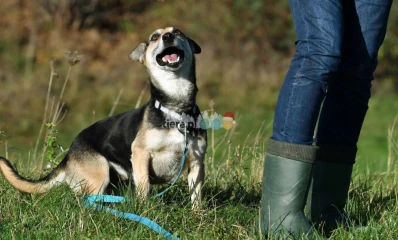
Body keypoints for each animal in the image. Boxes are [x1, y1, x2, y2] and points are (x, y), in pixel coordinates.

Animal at [0, 27, 208, 205]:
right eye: (155, 37)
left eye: (178, 32)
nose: (168, 37)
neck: (176, 108)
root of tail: (68, 157)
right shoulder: (140, 154)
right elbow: (144, 187)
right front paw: (144, 209)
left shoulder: (196, 161)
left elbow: (196, 195)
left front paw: (197, 215)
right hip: (100, 172)